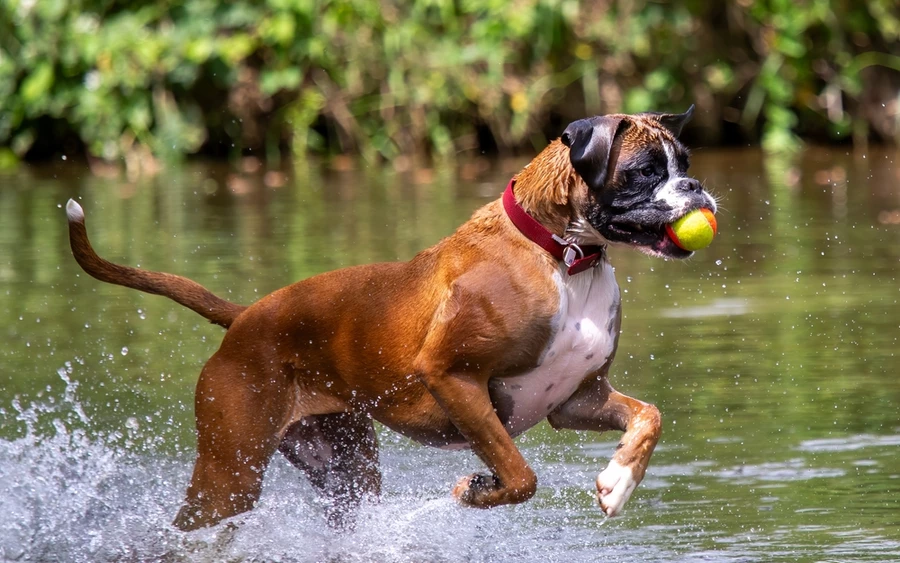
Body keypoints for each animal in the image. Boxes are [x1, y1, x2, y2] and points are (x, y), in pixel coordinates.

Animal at [65, 107, 716, 532]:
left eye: (684, 162)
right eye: (643, 172)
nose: (697, 185)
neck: (563, 255)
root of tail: (247, 317)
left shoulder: (575, 399)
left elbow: (649, 417)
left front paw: (618, 483)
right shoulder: (453, 378)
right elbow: (519, 474)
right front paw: (475, 490)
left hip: (345, 472)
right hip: (228, 477)